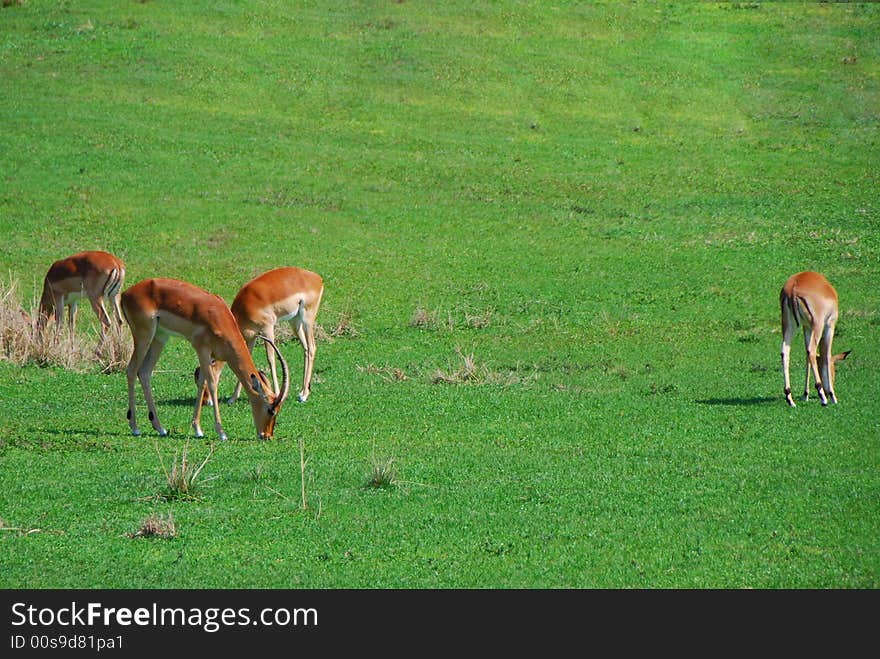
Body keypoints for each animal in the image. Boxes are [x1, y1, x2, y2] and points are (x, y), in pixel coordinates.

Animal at [120, 276, 290, 440]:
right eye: (271, 410)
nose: (267, 435)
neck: (218, 317)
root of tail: (125, 294)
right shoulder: (202, 349)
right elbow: (212, 383)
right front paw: (221, 433)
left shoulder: (208, 355)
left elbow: (202, 383)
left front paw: (198, 429)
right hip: (144, 336)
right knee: (132, 370)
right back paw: (135, 428)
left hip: (160, 338)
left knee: (144, 372)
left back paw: (160, 428)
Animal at [196, 268, 324, 408]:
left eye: (204, 378)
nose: (207, 402)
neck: (244, 307)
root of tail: (317, 278)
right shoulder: (251, 337)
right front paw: (233, 398)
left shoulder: (267, 329)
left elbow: (271, 358)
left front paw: (277, 393)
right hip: (295, 322)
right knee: (305, 348)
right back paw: (302, 391)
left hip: (307, 320)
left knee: (312, 348)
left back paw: (304, 395)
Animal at [780, 272, 848, 408]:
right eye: (834, 370)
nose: (828, 392)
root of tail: (793, 287)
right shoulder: (829, 326)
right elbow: (826, 355)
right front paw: (833, 396)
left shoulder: (807, 327)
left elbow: (807, 357)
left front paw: (805, 394)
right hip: (818, 326)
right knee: (811, 351)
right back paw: (823, 397)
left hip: (789, 326)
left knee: (785, 352)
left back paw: (790, 398)